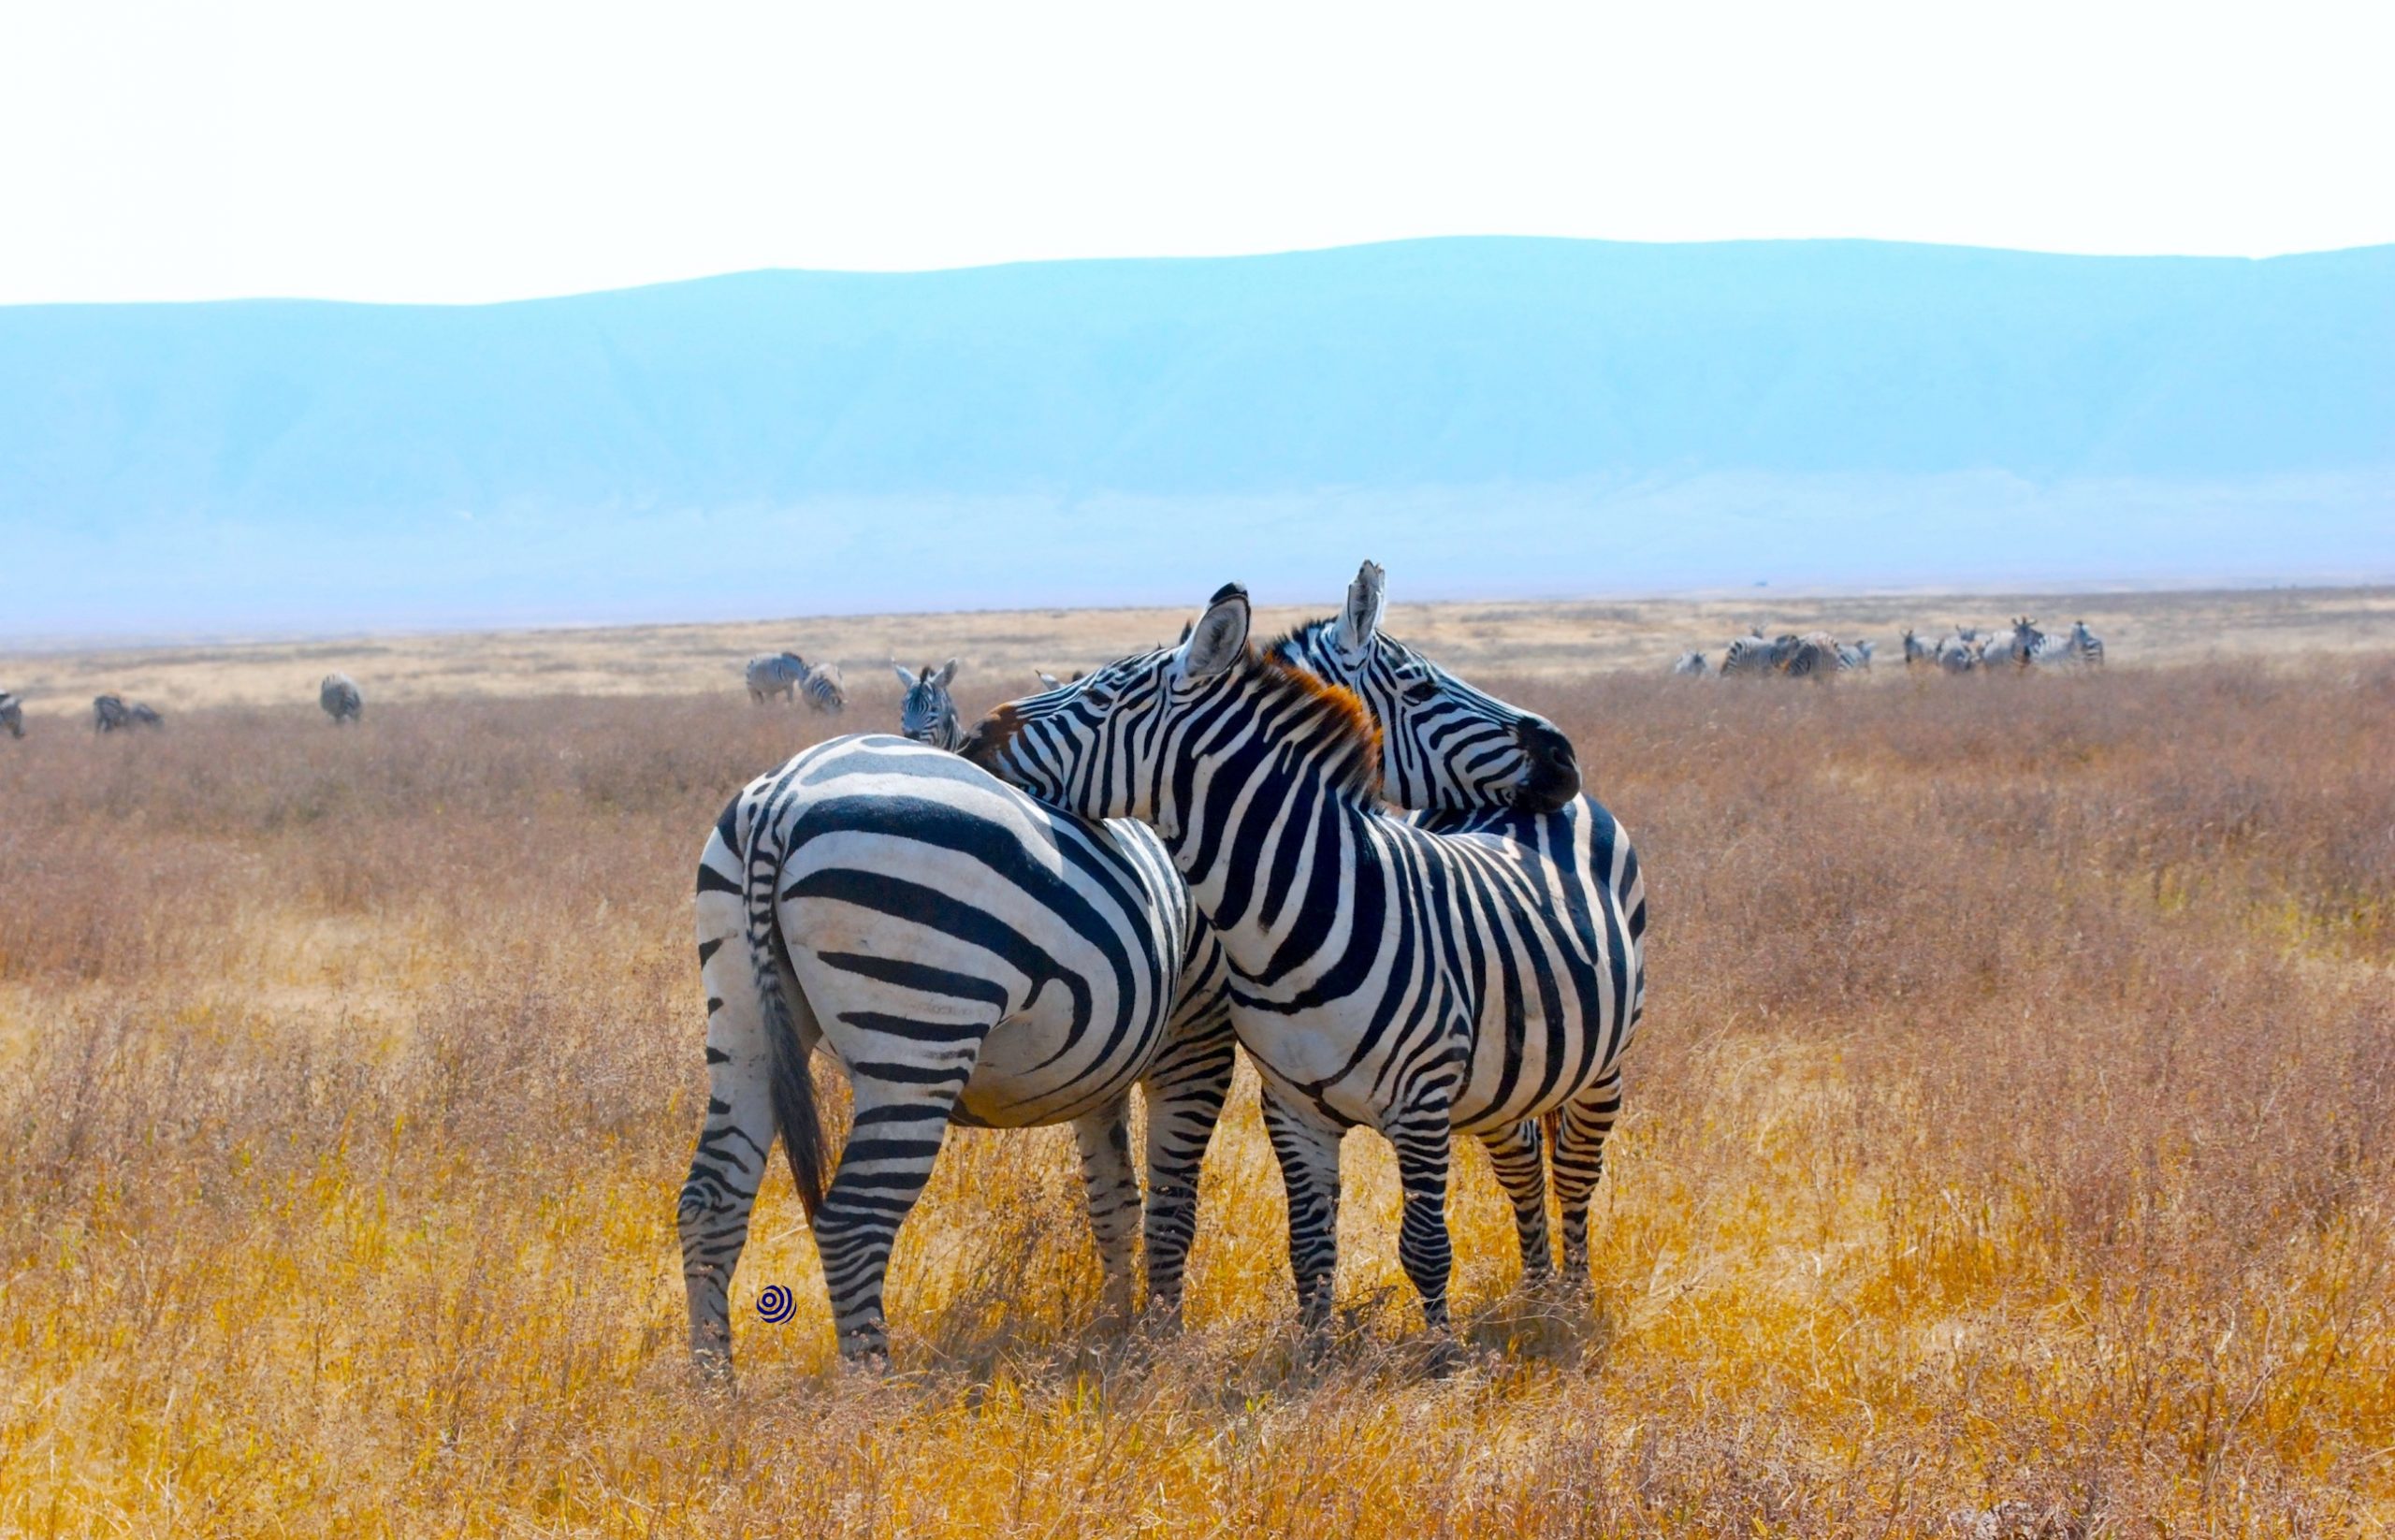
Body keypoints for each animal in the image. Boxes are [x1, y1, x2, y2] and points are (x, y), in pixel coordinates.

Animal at [963, 579, 1638, 1341]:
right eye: (1420, 683)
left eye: (1101, 696)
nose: (1561, 757)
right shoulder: (1287, 1102)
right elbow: (1306, 1244)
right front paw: (1313, 1355)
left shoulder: (1403, 1096)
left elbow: (1424, 1244)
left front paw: (1442, 1358)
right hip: (1510, 1068)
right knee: (1523, 1159)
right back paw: (1540, 1291)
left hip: (1602, 1066)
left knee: (1577, 1169)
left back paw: (1569, 1303)